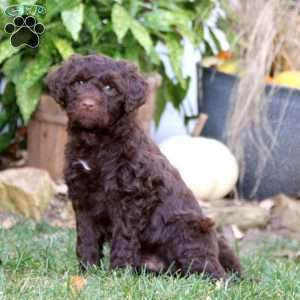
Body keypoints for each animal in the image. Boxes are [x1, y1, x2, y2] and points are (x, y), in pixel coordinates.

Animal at [46, 53, 241, 278]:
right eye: (78, 82)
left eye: (109, 88)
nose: (87, 105)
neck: (96, 141)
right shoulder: (82, 196)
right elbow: (86, 237)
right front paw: (87, 271)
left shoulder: (132, 198)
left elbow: (123, 238)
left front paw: (117, 273)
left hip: (188, 228)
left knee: (210, 270)